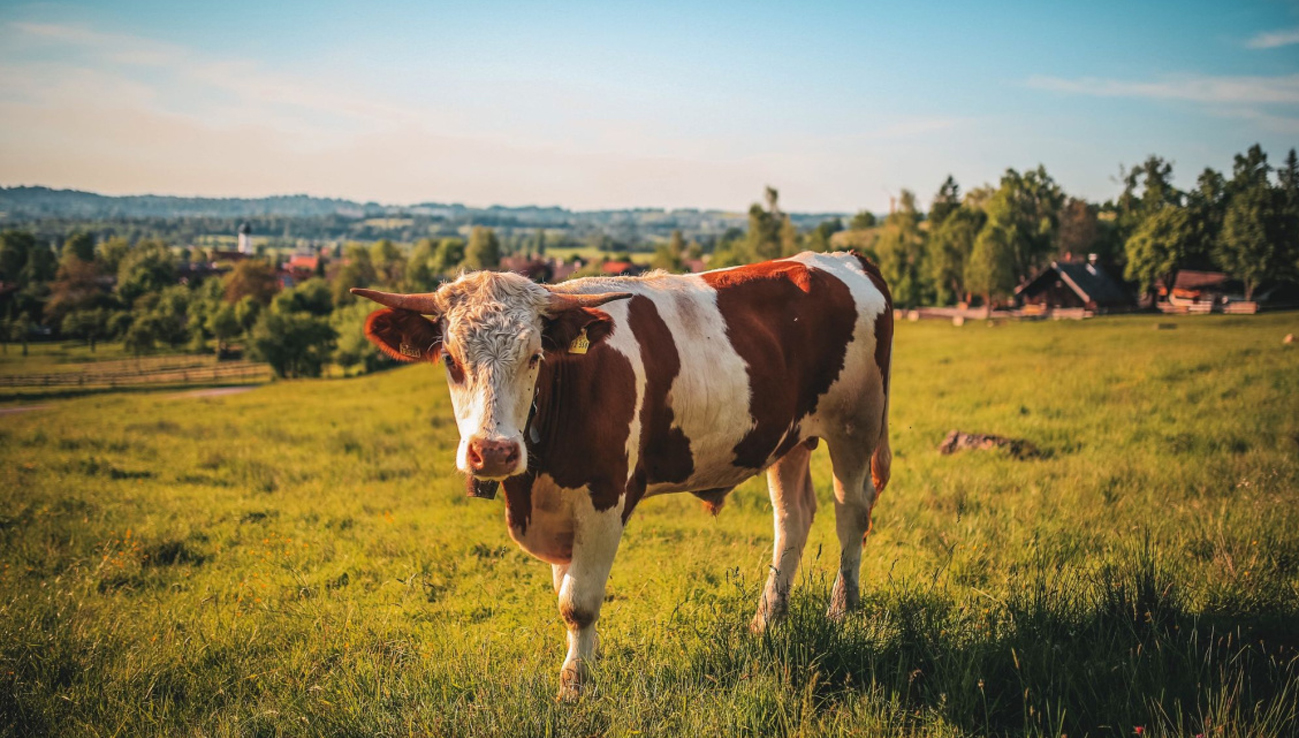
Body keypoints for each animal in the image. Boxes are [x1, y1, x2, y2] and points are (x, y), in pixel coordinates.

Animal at [355, 252, 893, 696]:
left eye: (535, 356)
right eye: (450, 359)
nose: (493, 452)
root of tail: (843, 258)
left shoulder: (605, 498)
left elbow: (578, 603)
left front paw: (574, 686)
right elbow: (565, 591)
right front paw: (582, 666)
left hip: (856, 423)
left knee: (851, 511)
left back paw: (842, 609)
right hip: (789, 439)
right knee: (792, 518)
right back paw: (767, 620)